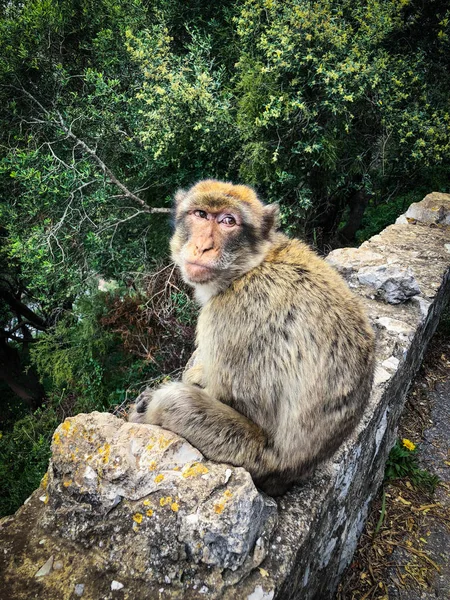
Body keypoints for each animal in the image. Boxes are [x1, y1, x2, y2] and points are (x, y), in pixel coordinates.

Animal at [130, 179, 376, 496]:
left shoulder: (231, 316)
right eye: (200, 214)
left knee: (176, 402)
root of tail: (287, 477)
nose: (202, 246)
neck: (250, 267)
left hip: (250, 454)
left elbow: (237, 400)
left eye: (228, 221)